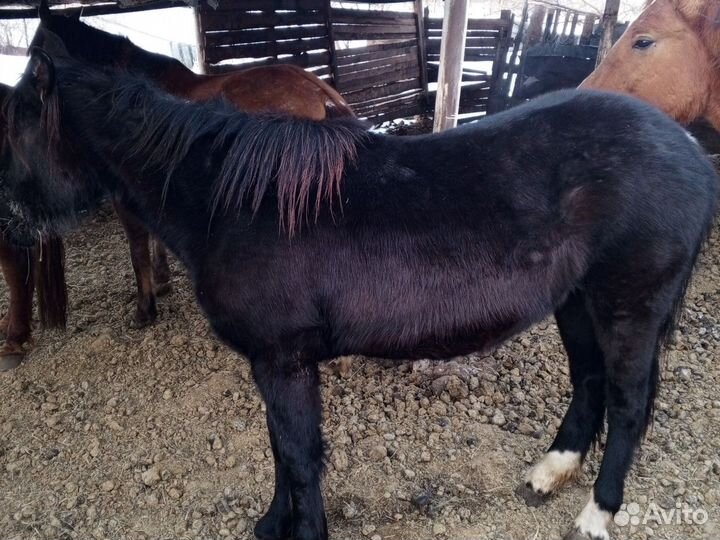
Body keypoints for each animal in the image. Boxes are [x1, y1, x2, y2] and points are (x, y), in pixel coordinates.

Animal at [3, 45, 717, 540]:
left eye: (17, 127)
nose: (9, 219)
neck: (231, 200)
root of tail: (685, 147)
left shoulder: (284, 362)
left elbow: (299, 455)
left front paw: (301, 530)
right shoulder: (275, 364)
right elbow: (281, 449)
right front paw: (272, 524)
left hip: (630, 307)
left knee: (628, 403)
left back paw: (597, 513)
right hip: (576, 300)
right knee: (589, 381)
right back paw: (550, 472)